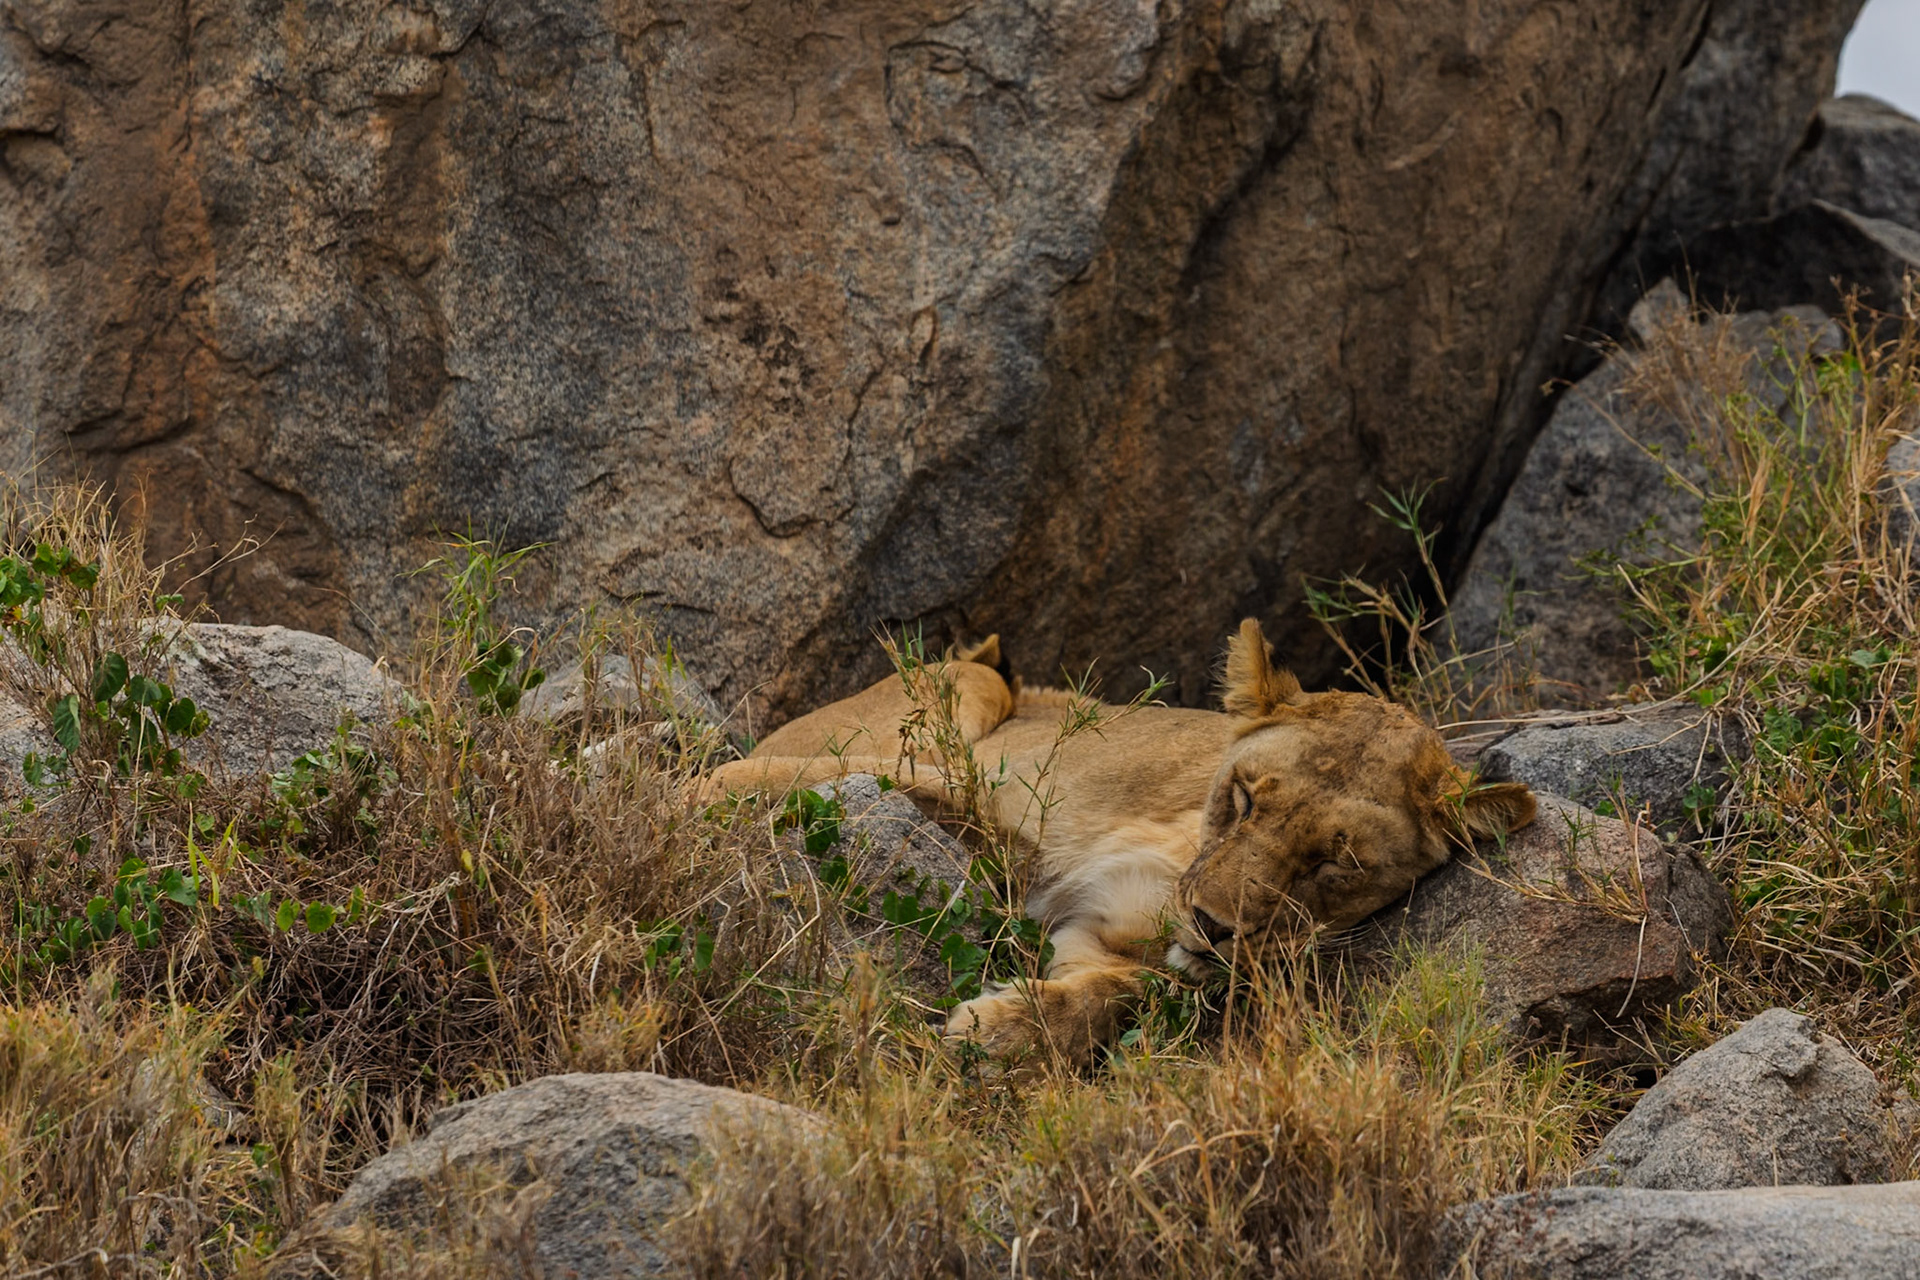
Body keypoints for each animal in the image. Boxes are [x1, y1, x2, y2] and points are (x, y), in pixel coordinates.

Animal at [706, 620, 1535, 1058]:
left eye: (1338, 862)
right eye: (1245, 796)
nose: (1211, 925)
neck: (1177, 848)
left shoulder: (1103, 939)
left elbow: (1114, 993)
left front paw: (1001, 1031)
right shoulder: (987, 793)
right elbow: (811, 773)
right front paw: (694, 793)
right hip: (972, 685)